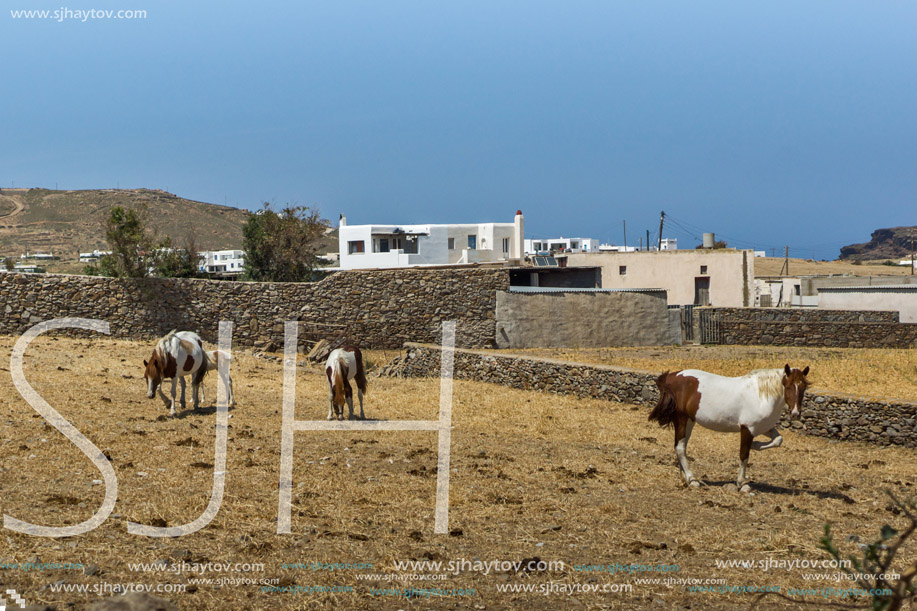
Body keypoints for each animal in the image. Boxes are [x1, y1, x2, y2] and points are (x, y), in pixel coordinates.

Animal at [652, 364, 808, 492]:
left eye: (803, 387)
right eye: (788, 386)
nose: (795, 413)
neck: (761, 395)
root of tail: (672, 376)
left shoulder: (764, 428)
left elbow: (778, 440)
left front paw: (756, 445)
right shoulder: (747, 429)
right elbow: (744, 455)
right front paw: (742, 484)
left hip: (689, 421)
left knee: (681, 446)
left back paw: (685, 479)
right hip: (682, 419)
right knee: (679, 448)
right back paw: (692, 479)